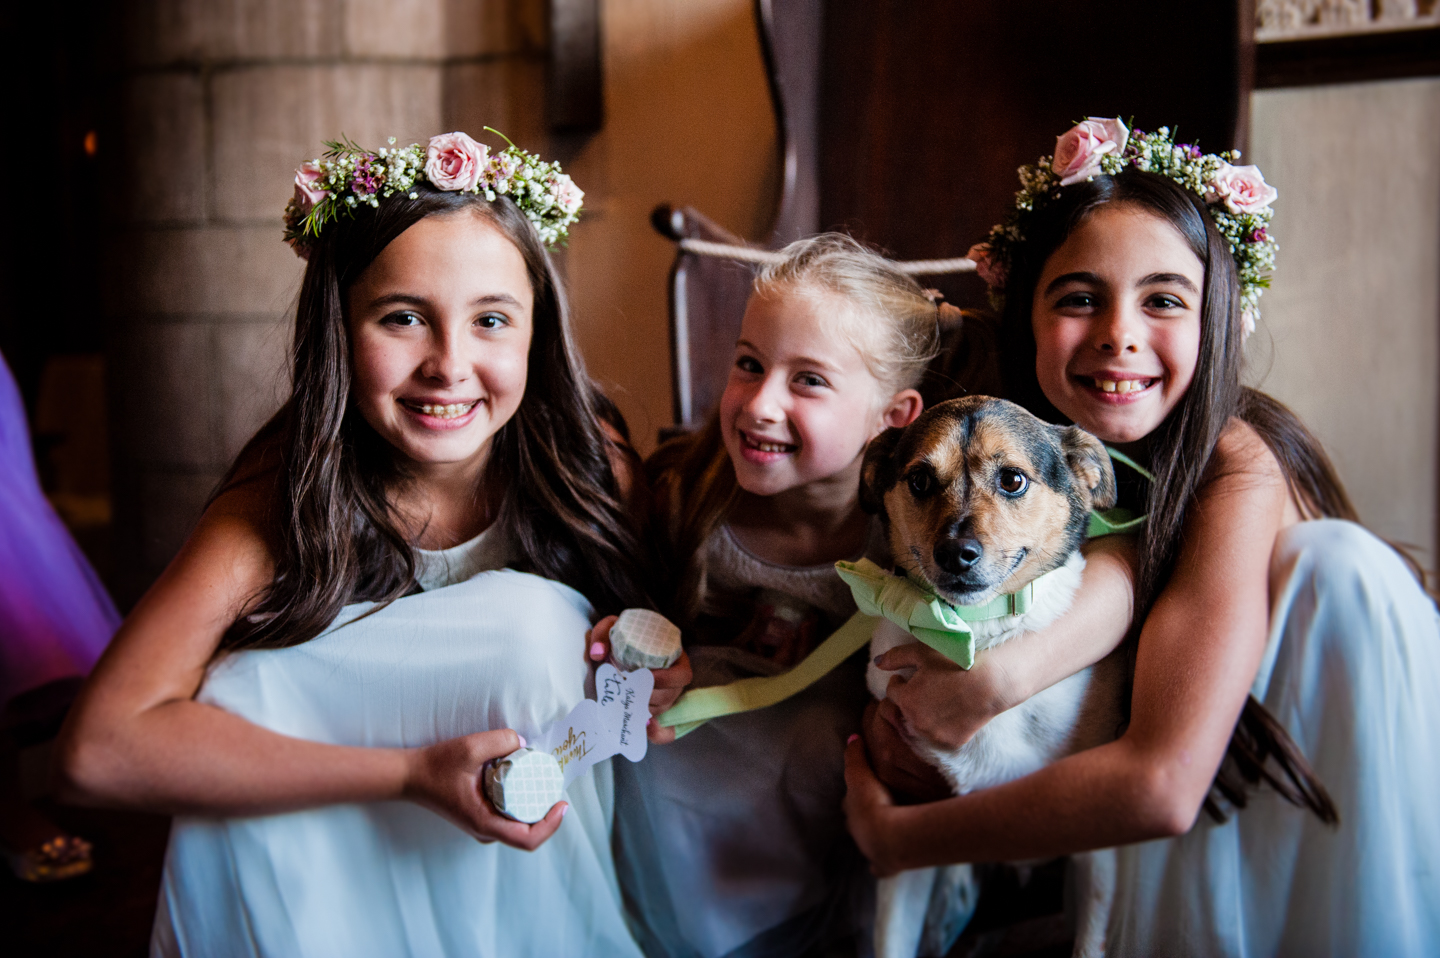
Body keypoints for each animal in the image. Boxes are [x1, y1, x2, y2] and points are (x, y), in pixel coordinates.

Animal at [858, 394, 1128, 956]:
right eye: (919, 480)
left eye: (1012, 480)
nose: (955, 554)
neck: (974, 635)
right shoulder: (902, 837)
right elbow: (891, 939)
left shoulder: (1099, 853)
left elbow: (1090, 941)